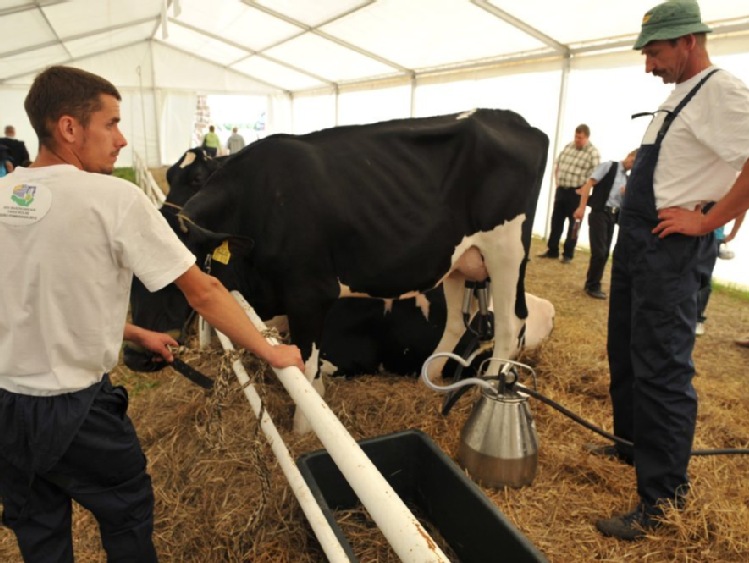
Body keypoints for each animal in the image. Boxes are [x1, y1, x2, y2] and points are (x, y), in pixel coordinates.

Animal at [127, 110, 548, 434]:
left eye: (182, 268)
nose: (135, 355)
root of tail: (514, 120)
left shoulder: (308, 295)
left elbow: (305, 370)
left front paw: (306, 429)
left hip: (506, 251)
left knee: (510, 326)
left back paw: (484, 395)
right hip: (460, 261)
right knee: (458, 324)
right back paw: (429, 386)